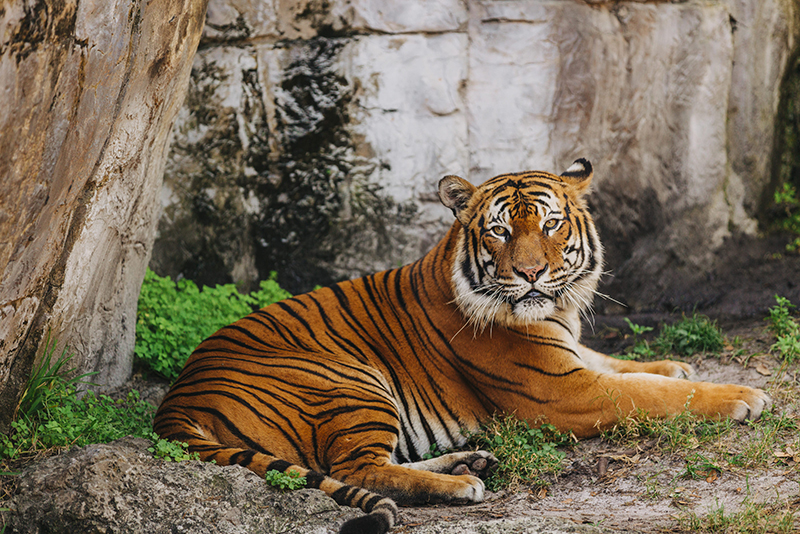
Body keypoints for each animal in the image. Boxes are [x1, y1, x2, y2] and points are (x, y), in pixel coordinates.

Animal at [154, 159, 771, 534]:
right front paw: (741, 396)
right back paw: (463, 483)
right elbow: (649, 393)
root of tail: (174, 402)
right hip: (349, 380)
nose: (529, 274)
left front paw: (679, 364)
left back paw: (469, 461)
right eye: (500, 231)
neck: (556, 310)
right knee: (357, 467)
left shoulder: (574, 357)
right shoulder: (566, 393)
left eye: (550, 224)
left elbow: (632, 366)